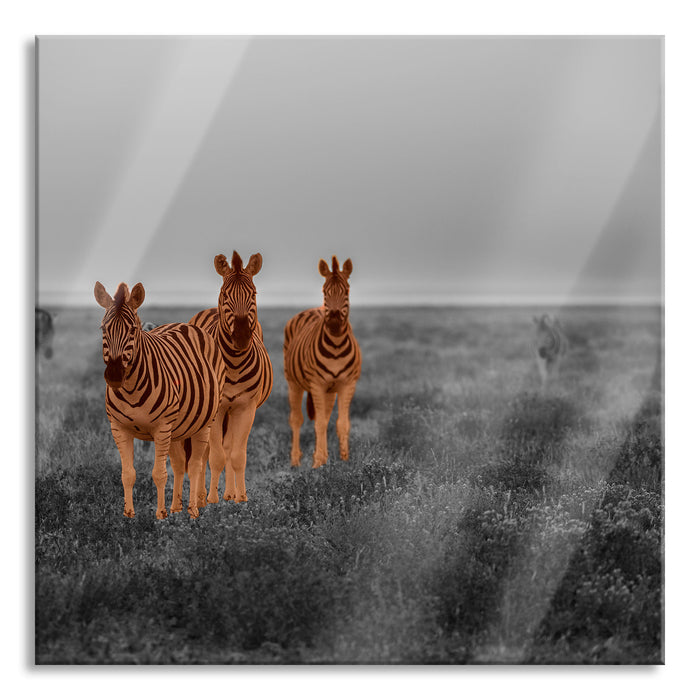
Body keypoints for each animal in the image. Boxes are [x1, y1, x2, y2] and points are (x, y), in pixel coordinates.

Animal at [95, 281, 225, 519]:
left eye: (133, 330)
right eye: (103, 329)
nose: (115, 376)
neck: (131, 390)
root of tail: (185, 325)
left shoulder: (162, 428)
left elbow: (159, 474)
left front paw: (160, 515)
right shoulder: (118, 428)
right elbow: (128, 473)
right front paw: (128, 515)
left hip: (204, 422)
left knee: (195, 465)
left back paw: (193, 510)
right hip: (177, 428)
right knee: (180, 464)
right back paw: (176, 508)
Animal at [187, 250, 273, 504]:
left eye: (254, 293)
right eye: (225, 294)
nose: (242, 337)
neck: (233, 364)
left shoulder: (246, 408)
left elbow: (236, 455)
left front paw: (240, 497)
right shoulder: (218, 409)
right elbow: (215, 456)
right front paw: (211, 500)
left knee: (228, 446)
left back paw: (229, 492)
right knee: (206, 451)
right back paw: (201, 495)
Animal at [283, 255, 362, 468]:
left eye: (347, 291)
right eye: (324, 291)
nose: (334, 322)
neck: (336, 346)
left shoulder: (347, 384)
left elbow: (341, 424)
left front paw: (344, 460)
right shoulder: (317, 384)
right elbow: (318, 423)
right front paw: (318, 463)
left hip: (330, 391)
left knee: (325, 418)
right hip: (293, 383)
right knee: (296, 419)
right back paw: (295, 461)